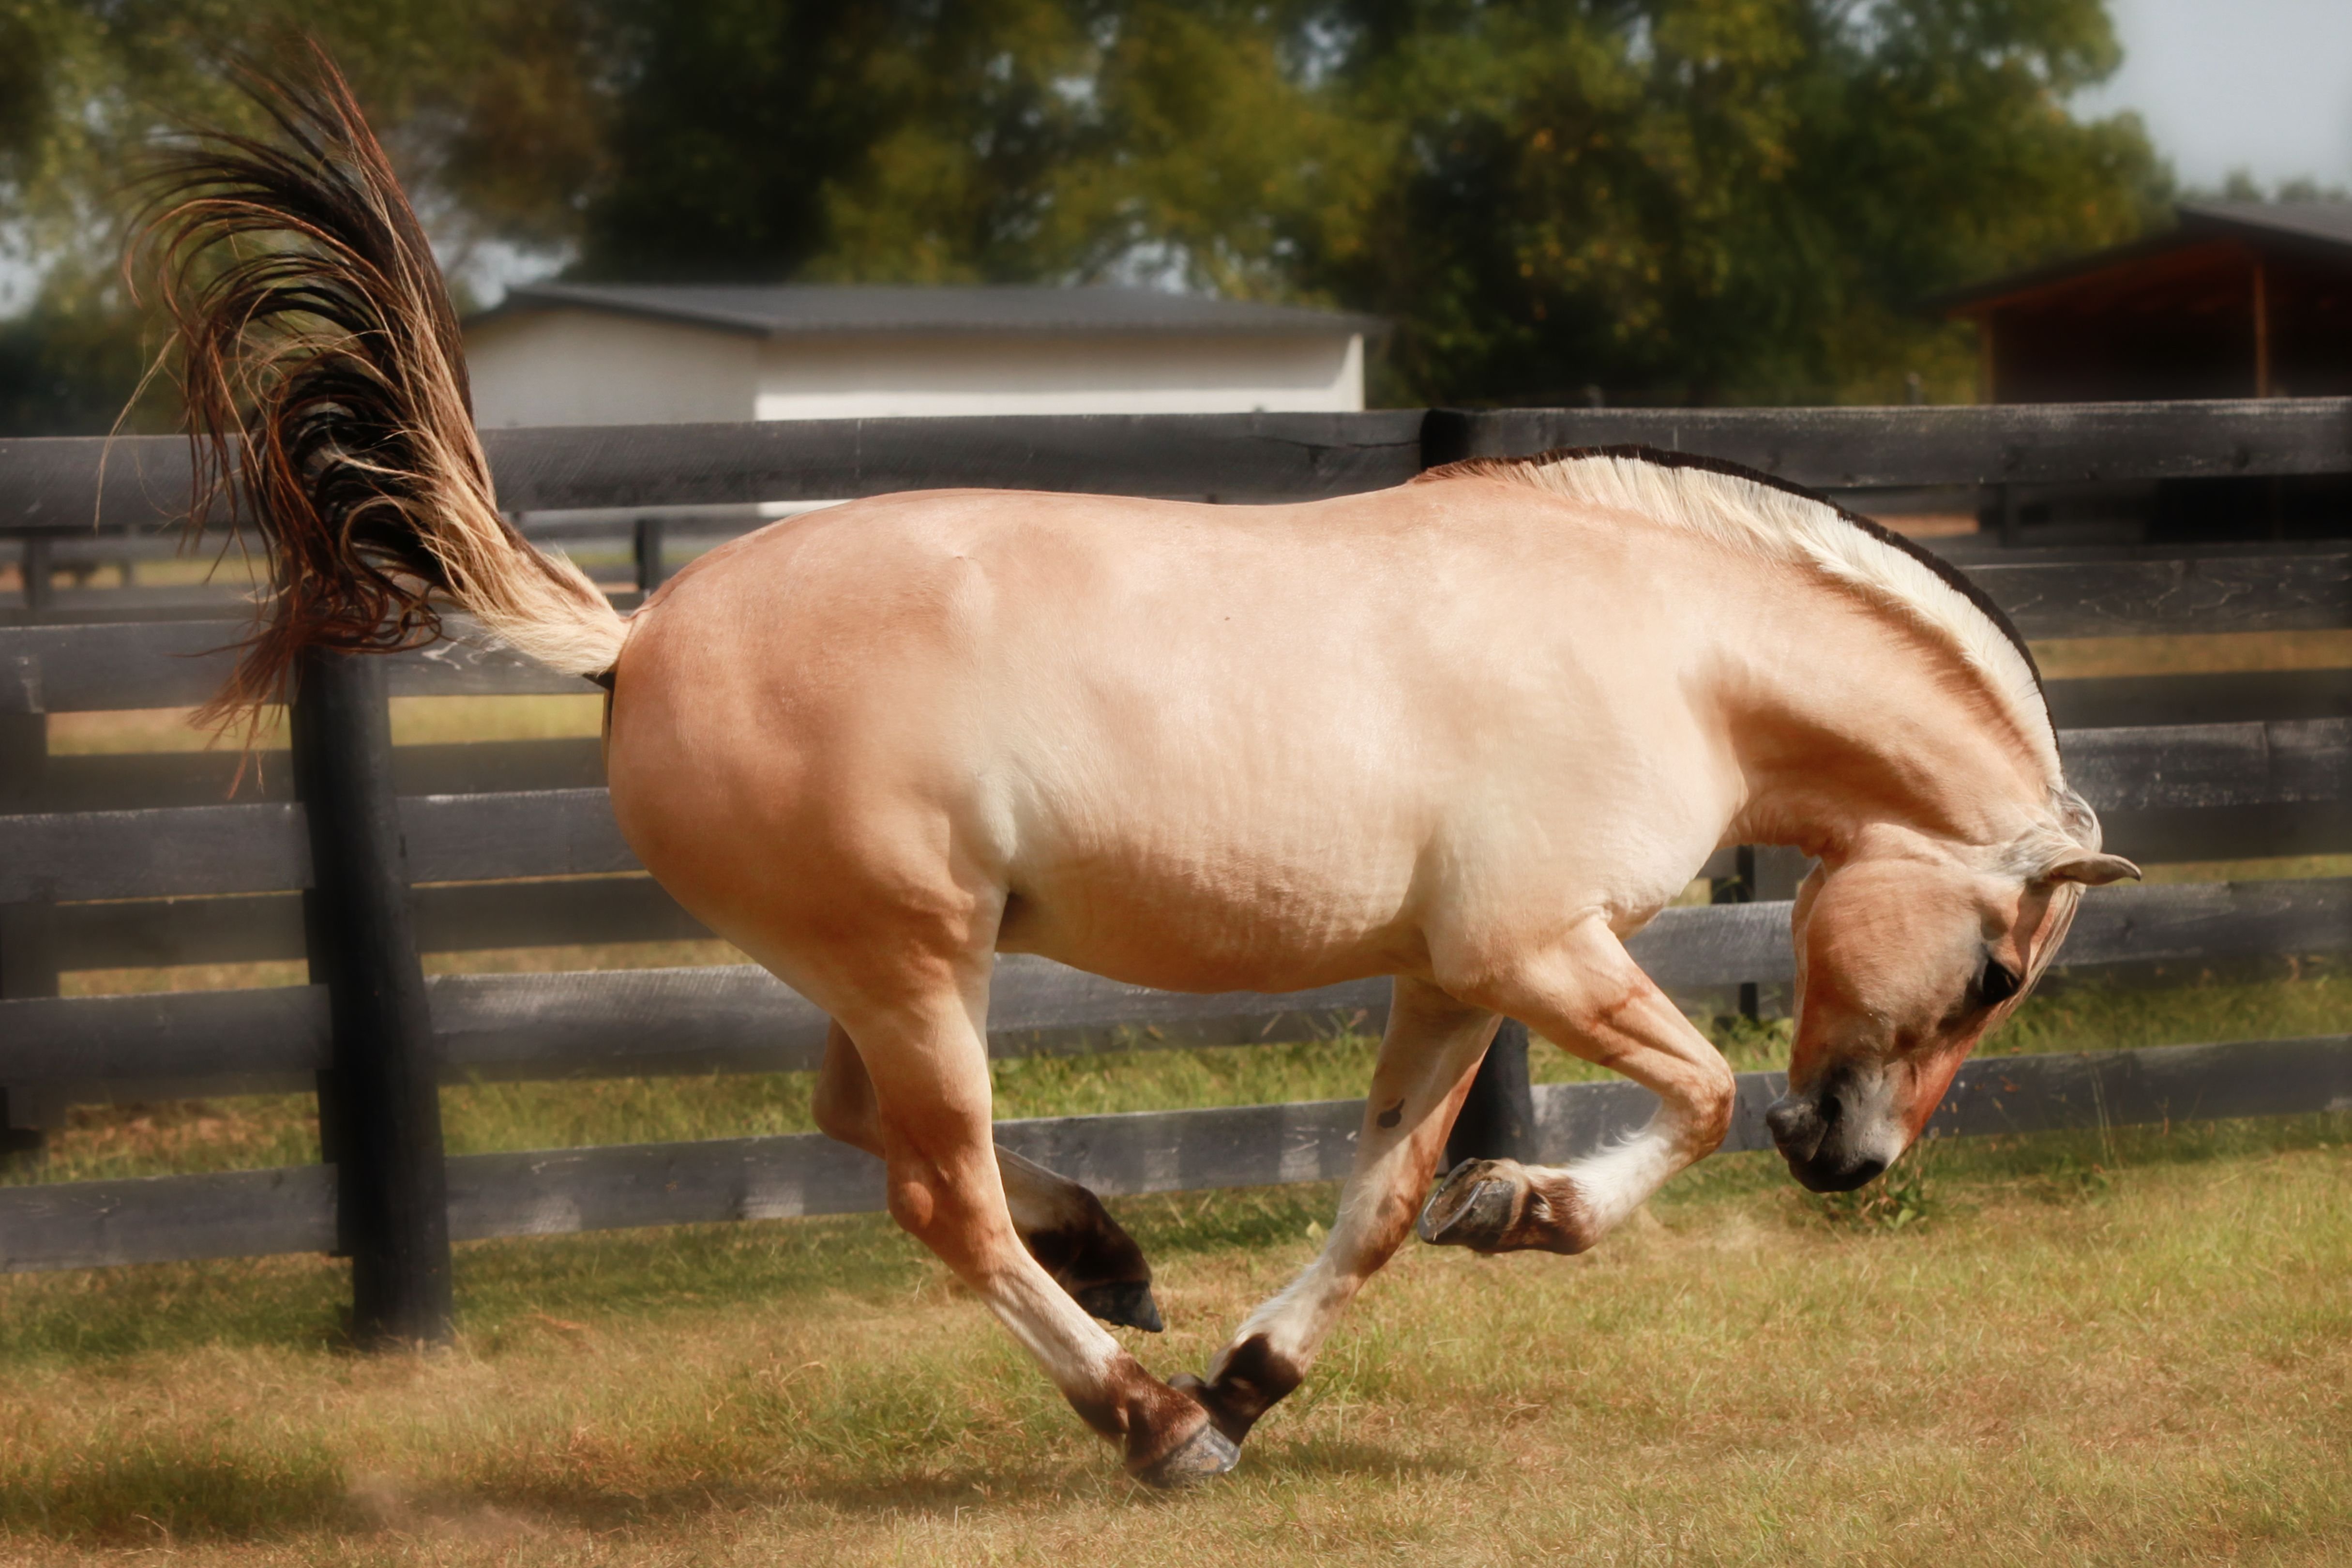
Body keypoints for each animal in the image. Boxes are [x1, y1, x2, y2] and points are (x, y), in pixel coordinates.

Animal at [137, 55, 2145, 1495]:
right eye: (1992, 970)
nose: (1852, 1162)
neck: (1661, 638)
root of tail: (636, 634)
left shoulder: (1447, 974)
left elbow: (1384, 1199)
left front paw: (1264, 1370)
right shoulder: (1539, 949)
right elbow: (1691, 1094)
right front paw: (1524, 1217)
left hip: (889, 969)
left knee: (867, 1131)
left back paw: (1119, 1269)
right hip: (914, 960)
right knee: (932, 1193)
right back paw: (1142, 1416)